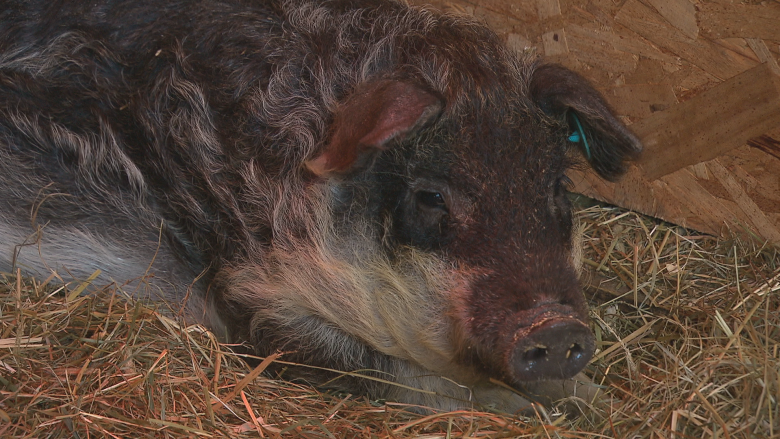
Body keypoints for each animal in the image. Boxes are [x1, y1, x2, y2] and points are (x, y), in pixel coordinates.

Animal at [0, 0, 644, 412]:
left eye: (555, 188)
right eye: (430, 195)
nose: (554, 326)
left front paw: (596, 401)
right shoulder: (256, 298)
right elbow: (394, 375)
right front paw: (564, 407)